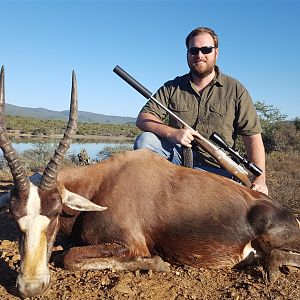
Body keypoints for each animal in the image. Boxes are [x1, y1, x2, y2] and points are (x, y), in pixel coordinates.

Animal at [0, 67, 298, 298]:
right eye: (14, 217)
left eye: (53, 215)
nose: (30, 287)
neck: (101, 184)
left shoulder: (130, 244)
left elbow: (68, 257)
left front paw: (158, 263)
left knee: (276, 255)